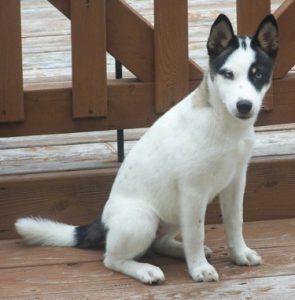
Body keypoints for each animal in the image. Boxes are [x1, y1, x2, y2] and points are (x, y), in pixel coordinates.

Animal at [15, 14, 280, 284]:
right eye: (228, 74)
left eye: (258, 74)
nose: (244, 106)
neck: (224, 123)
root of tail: (104, 221)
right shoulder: (193, 191)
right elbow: (196, 233)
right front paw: (199, 268)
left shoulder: (235, 182)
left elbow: (235, 221)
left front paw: (239, 254)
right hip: (144, 219)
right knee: (112, 259)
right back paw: (146, 270)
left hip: (173, 212)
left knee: (159, 243)